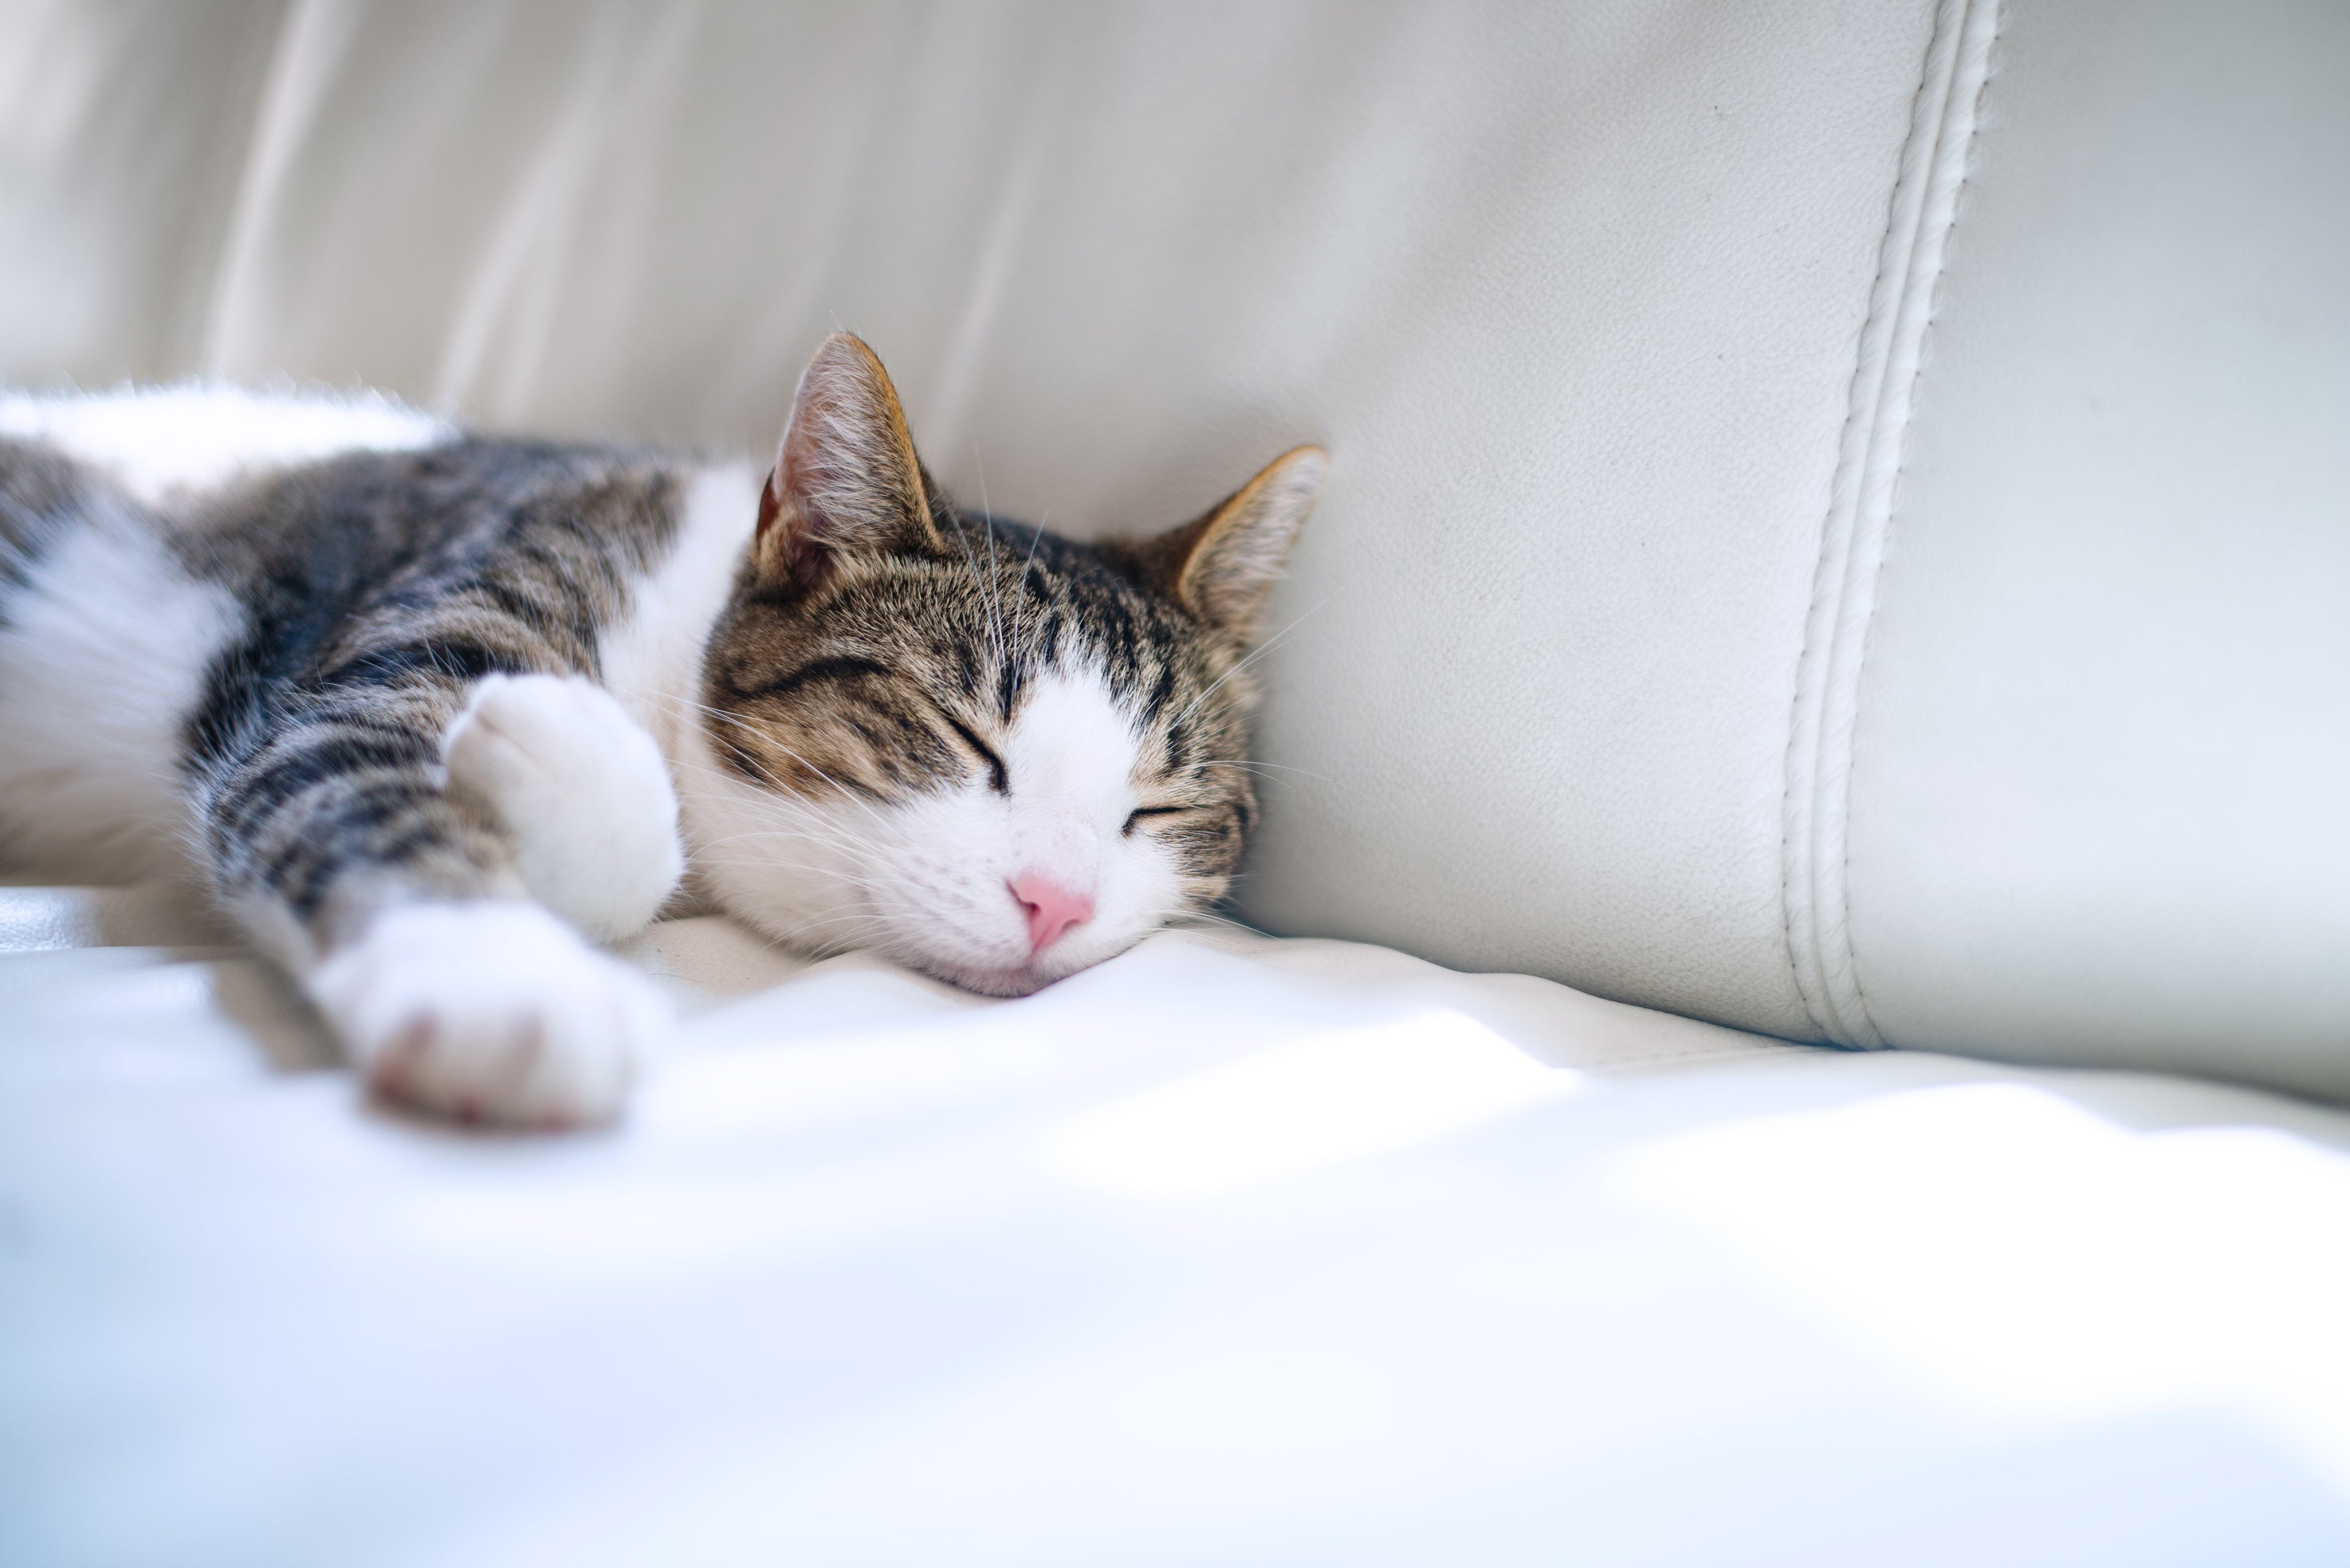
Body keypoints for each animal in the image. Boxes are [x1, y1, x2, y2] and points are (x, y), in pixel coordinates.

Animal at [0, 338, 1325, 1128]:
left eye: (1161, 809)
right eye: (962, 736)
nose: (1058, 901)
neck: (670, 634)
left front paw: (548, 757)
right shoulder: (367, 677)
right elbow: (351, 779)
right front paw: (500, 979)